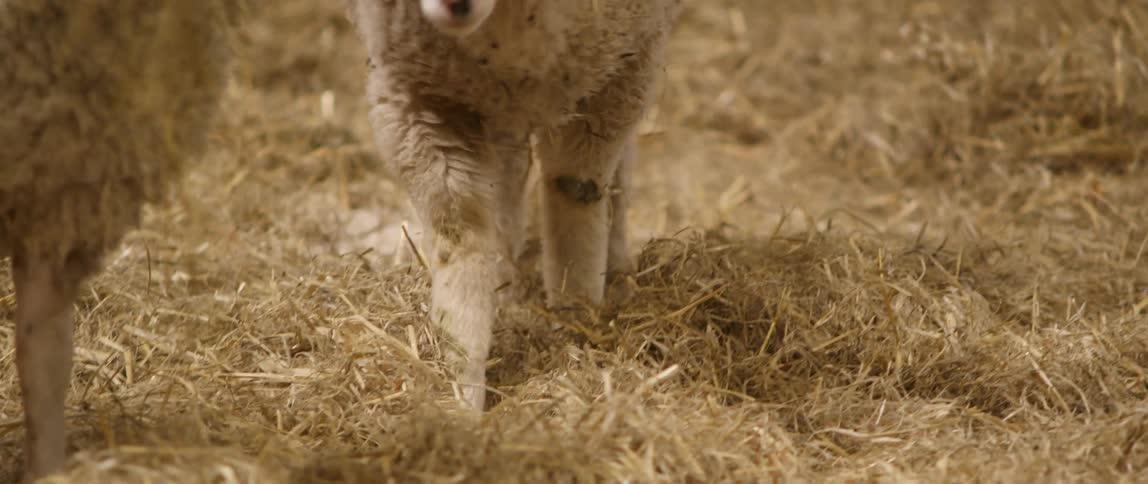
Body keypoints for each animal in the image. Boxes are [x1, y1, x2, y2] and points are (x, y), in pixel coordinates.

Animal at [347, 0, 682, 411]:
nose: (456, 5)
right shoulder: (416, 96)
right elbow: (460, 239)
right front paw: (460, 390)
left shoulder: (616, 74)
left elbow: (575, 201)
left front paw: (577, 331)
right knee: (506, 183)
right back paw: (505, 281)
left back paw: (614, 267)